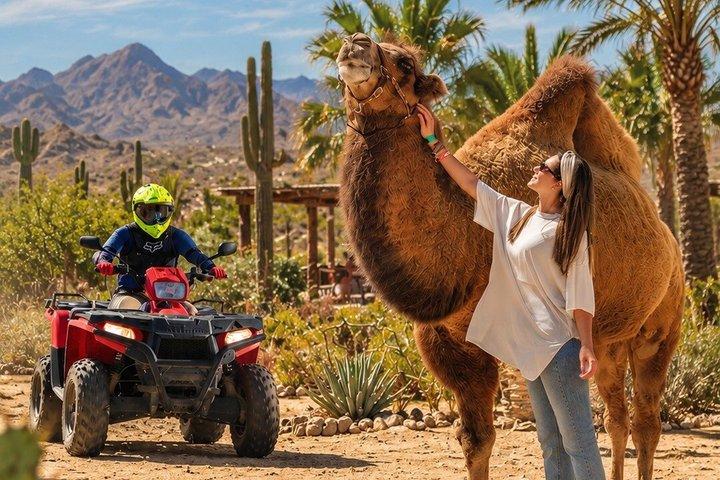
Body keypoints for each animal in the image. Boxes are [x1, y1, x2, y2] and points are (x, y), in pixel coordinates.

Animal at [335, 33, 684, 480]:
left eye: (407, 64)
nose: (354, 45)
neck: (471, 241)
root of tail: (671, 246)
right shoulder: (448, 343)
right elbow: (476, 440)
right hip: (608, 341)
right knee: (615, 416)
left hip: (660, 327)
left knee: (646, 420)